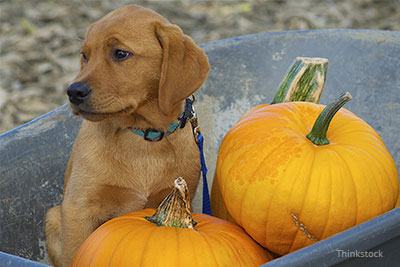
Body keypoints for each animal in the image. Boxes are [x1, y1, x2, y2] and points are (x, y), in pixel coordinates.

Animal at [44, 4, 209, 267]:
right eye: (85, 56)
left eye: (120, 53)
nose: (73, 91)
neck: (142, 137)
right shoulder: (79, 209)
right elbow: (75, 252)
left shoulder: (179, 197)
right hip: (53, 217)